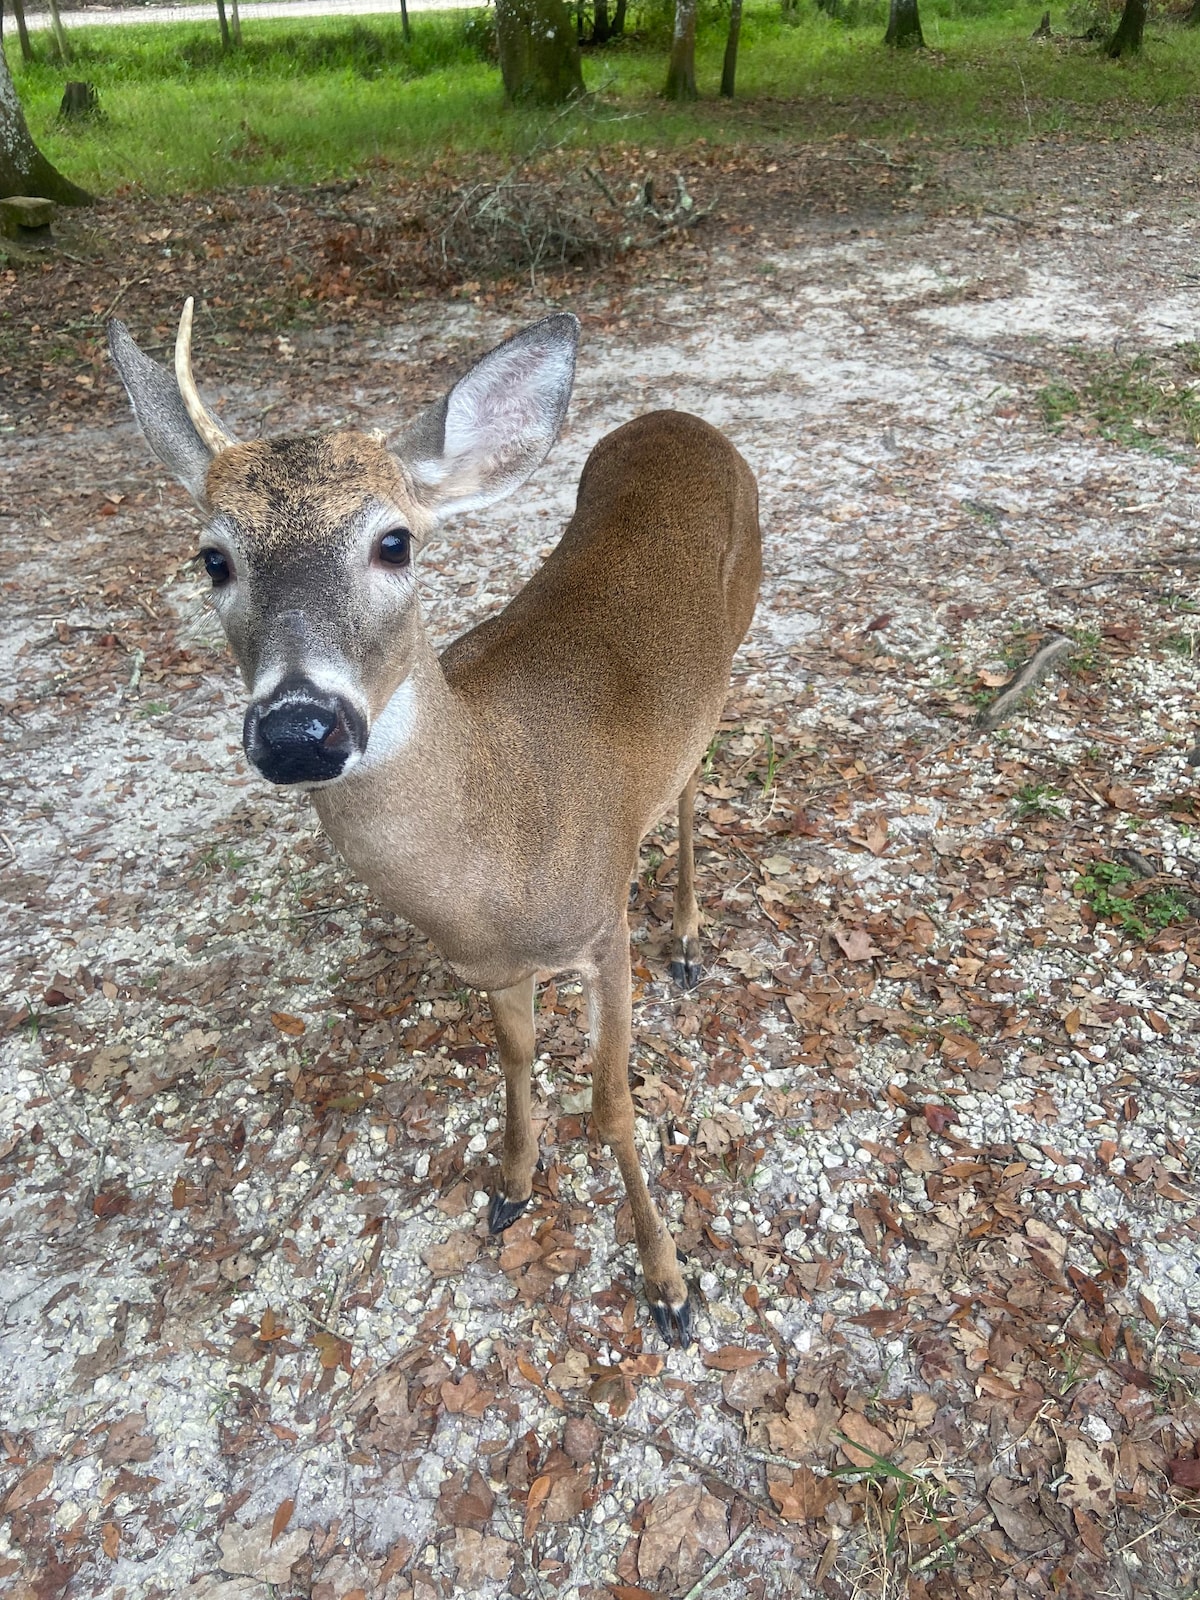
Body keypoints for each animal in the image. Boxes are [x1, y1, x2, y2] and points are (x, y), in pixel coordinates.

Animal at [110, 294, 761, 1344]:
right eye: (212, 558)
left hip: (732, 648)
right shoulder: (492, 967)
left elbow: (614, 1107)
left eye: (395, 542)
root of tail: (680, 418)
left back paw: (693, 937)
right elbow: (515, 1062)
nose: (299, 727)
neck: (499, 839)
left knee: (698, 777)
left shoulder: (600, 927)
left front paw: (669, 1284)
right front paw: (511, 1185)